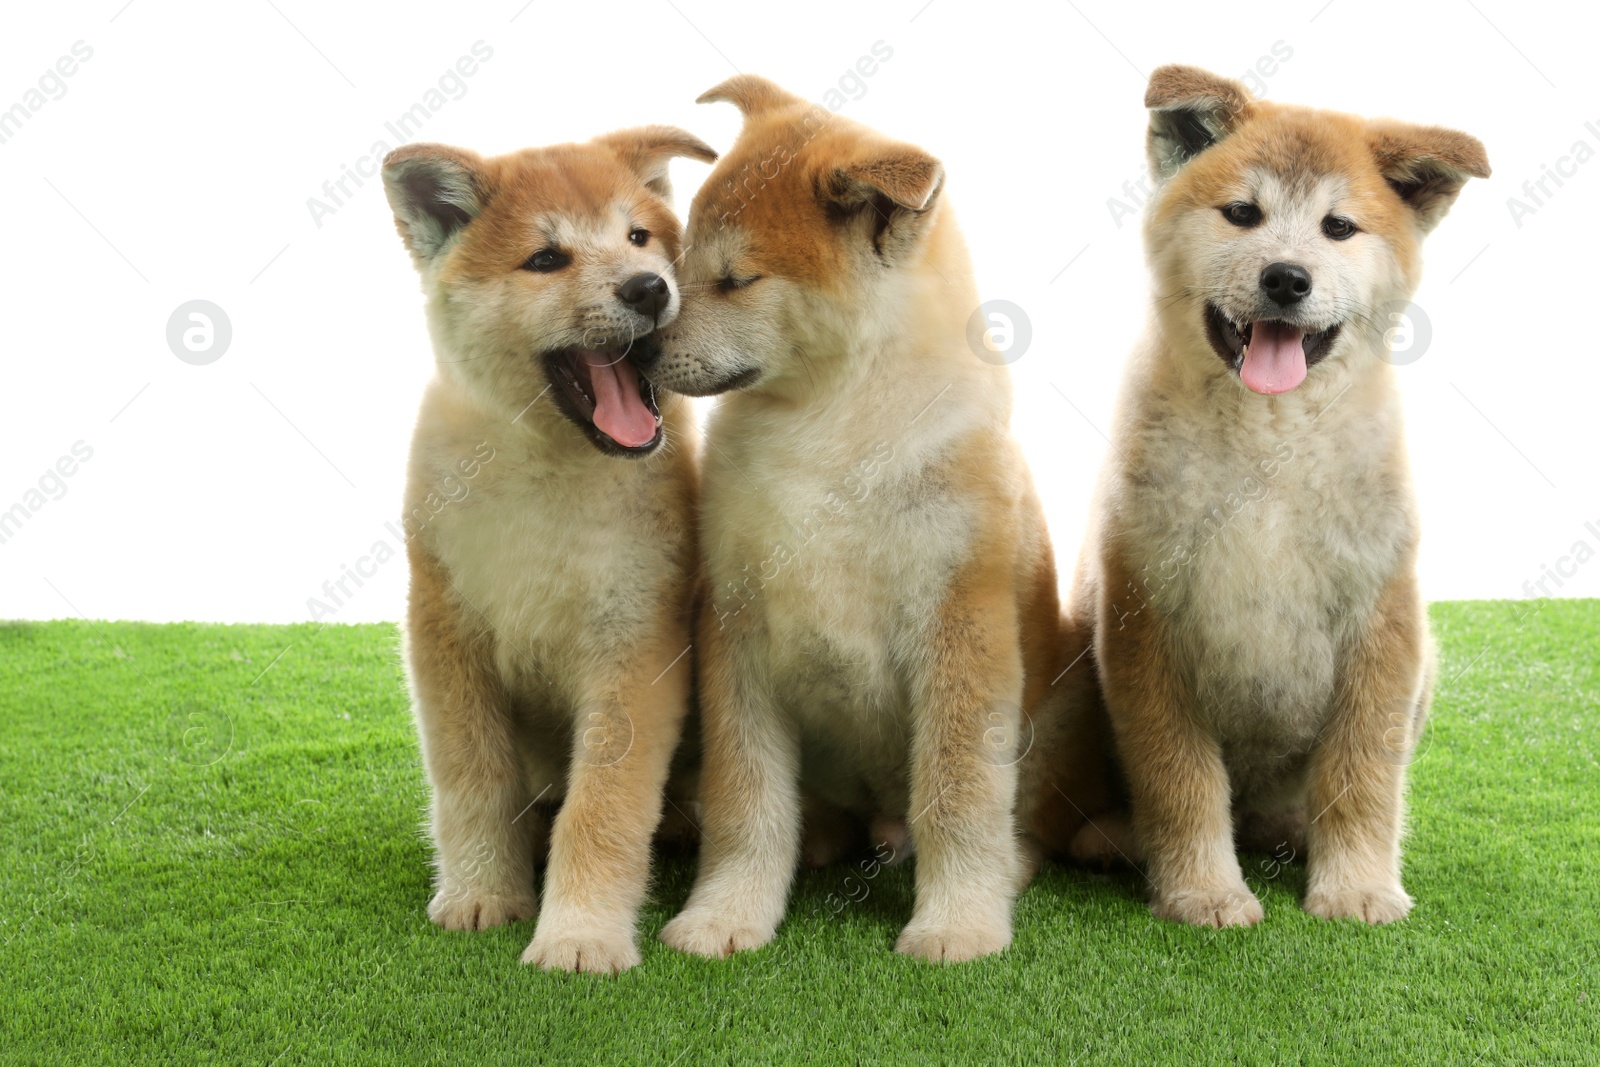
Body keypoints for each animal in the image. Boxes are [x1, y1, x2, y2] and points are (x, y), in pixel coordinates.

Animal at [379, 127, 713, 979]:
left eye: (639, 237)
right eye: (546, 259)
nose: (648, 288)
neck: (547, 471)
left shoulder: (634, 644)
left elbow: (603, 805)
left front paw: (579, 935)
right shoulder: (446, 631)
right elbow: (473, 777)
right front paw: (480, 891)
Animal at [636, 75, 1062, 959]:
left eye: (737, 279)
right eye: (679, 260)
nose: (641, 353)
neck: (832, 425)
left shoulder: (961, 624)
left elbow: (958, 795)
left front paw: (958, 922)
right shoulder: (735, 624)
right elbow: (745, 801)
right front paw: (728, 911)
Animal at [1043, 68, 1491, 927]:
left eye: (1338, 227)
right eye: (1242, 213)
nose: (1287, 276)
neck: (1268, 446)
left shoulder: (1381, 621)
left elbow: (1362, 775)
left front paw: (1357, 885)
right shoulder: (1148, 618)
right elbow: (1179, 778)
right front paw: (1203, 891)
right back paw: (1116, 837)